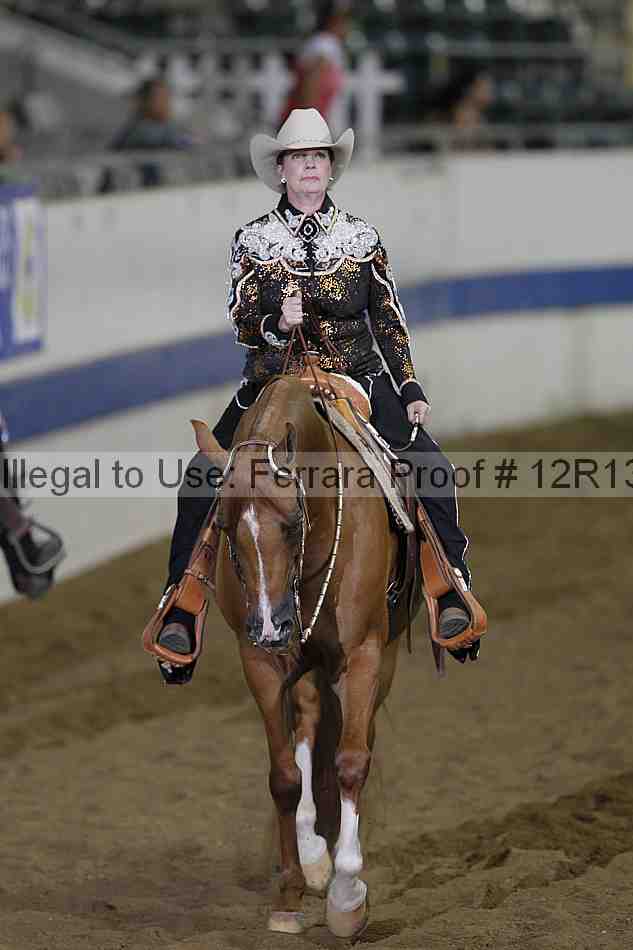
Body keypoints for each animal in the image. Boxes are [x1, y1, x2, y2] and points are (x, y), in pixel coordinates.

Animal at [192, 374, 406, 939]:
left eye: (291, 523)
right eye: (226, 528)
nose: (271, 624)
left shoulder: (365, 652)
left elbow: (352, 763)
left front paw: (348, 899)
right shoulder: (261, 664)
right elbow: (284, 776)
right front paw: (290, 892)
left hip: (382, 658)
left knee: (358, 739)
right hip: (305, 664)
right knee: (308, 724)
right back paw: (312, 855)